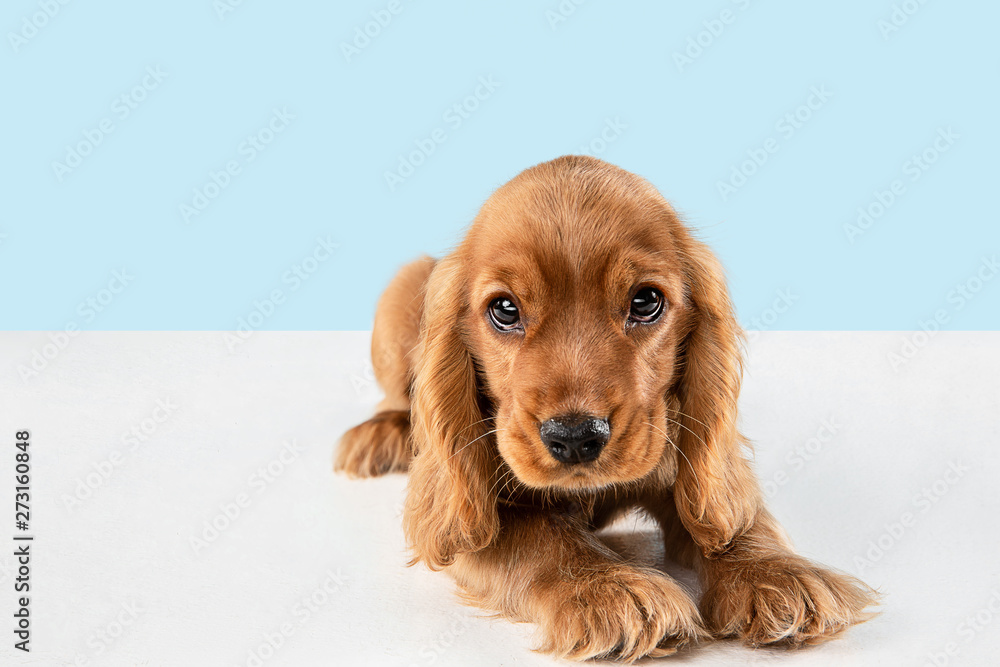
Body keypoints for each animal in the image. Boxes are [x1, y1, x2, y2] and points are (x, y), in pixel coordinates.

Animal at [336, 157, 876, 664]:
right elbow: (543, 537)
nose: (575, 438)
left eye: (646, 301)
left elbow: (735, 517)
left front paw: (776, 574)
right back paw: (381, 434)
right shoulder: (479, 512)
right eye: (505, 310)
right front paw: (610, 589)